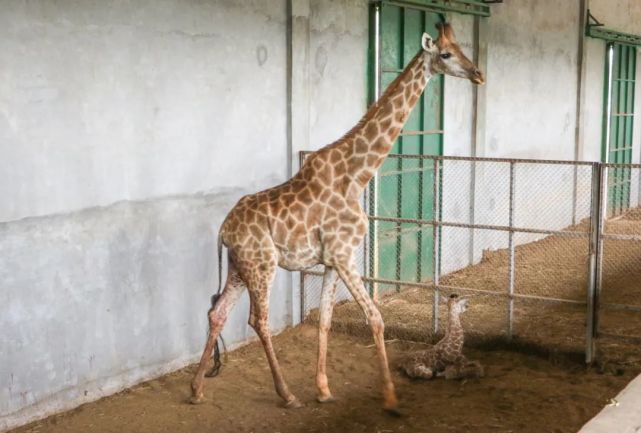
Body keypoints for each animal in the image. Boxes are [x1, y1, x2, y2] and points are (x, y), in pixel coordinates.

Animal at [192, 22, 482, 412]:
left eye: (463, 48)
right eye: (447, 54)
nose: (478, 74)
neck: (356, 175)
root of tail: (223, 230)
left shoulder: (330, 260)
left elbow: (326, 321)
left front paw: (324, 389)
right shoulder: (346, 255)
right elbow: (375, 317)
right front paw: (390, 397)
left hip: (240, 267)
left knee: (218, 313)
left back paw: (196, 389)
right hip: (262, 265)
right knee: (258, 319)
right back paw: (287, 394)